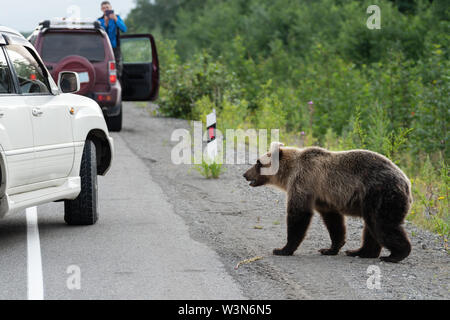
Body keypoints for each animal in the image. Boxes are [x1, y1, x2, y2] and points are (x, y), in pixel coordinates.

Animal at [244, 142, 414, 262]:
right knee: (371, 227)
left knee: (382, 225)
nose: (245, 174)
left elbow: (299, 215)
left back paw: (395, 255)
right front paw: (330, 248)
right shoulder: (324, 198)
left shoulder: (303, 181)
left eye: (258, 162)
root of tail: (407, 183)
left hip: (379, 194)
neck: (288, 173)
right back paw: (359, 252)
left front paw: (282, 249)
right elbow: (333, 221)